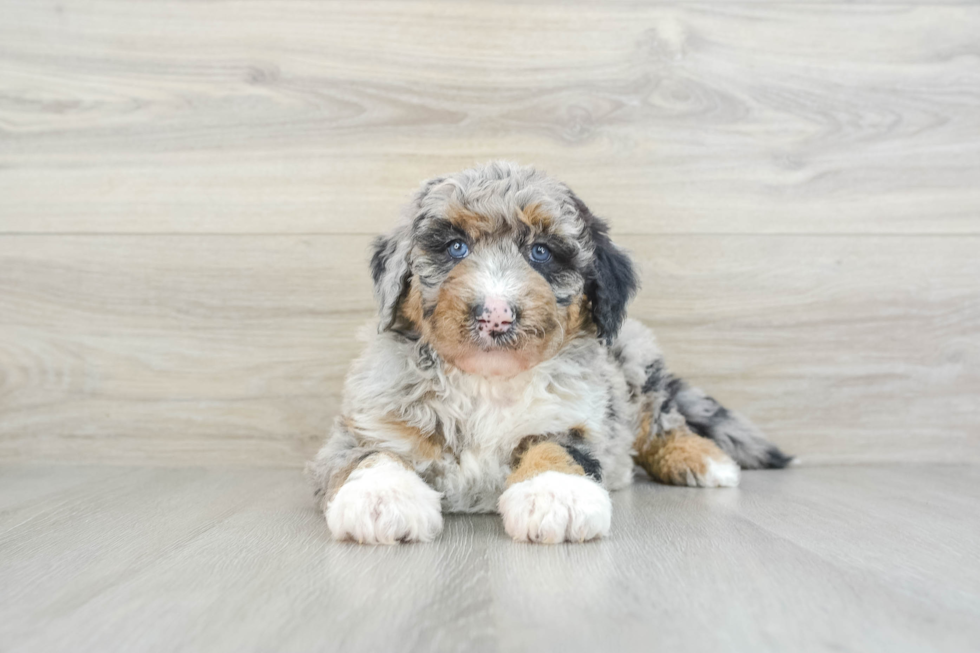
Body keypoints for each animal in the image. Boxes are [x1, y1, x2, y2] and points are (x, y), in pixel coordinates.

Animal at [310, 160, 792, 544]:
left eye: (540, 252)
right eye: (455, 247)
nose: (496, 314)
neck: (486, 381)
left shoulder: (573, 418)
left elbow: (556, 449)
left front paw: (557, 495)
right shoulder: (370, 418)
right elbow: (372, 453)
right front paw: (381, 497)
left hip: (635, 363)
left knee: (662, 422)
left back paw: (706, 462)